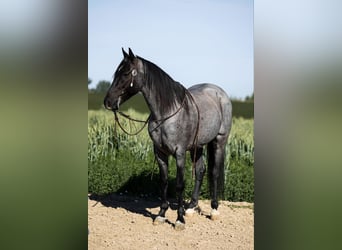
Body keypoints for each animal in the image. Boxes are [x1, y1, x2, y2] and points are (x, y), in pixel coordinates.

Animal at [104, 47, 232, 229]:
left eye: (126, 73)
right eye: (117, 72)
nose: (108, 102)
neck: (166, 113)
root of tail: (219, 92)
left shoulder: (179, 153)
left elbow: (179, 185)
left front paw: (179, 219)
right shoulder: (160, 152)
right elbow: (163, 182)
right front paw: (161, 214)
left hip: (219, 141)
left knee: (214, 173)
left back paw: (214, 210)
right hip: (197, 146)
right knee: (201, 171)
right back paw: (191, 208)